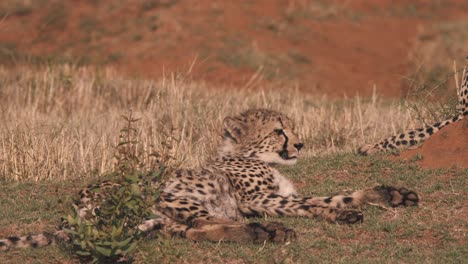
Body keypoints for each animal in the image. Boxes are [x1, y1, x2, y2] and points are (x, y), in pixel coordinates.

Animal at [0, 108, 416, 250]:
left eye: (291, 127)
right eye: (278, 131)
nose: (300, 144)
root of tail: (73, 209)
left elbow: (332, 195)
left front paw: (387, 194)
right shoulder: (256, 199)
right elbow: (311, 203)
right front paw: (341, 213)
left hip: (159, 221)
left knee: (193, 232)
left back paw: (260, 233)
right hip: (166, 195)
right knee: (203, 222)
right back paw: (267, 230)